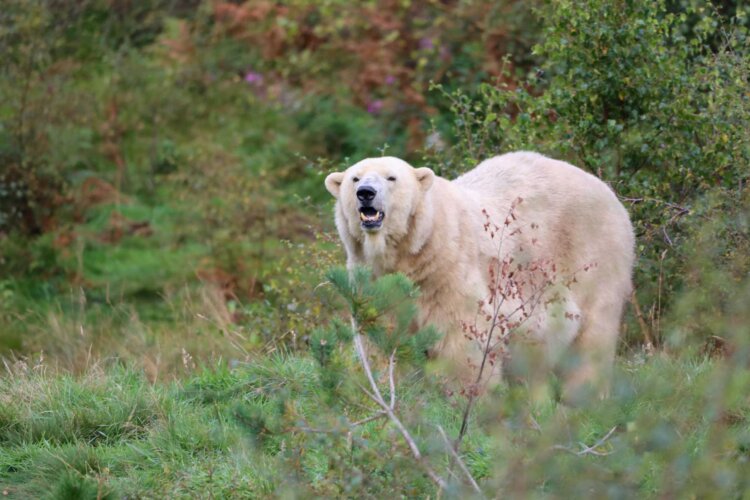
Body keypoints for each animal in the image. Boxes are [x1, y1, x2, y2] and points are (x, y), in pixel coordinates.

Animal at [324, 152, 635, 398]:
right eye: (354, 178)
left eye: (391, 178)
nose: (366, 193)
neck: (413, 252)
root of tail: (610, 194)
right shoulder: (374, 282)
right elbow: (382, 337)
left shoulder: (448, 273)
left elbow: (459, 342)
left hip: (594, 256)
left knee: (592, 339)